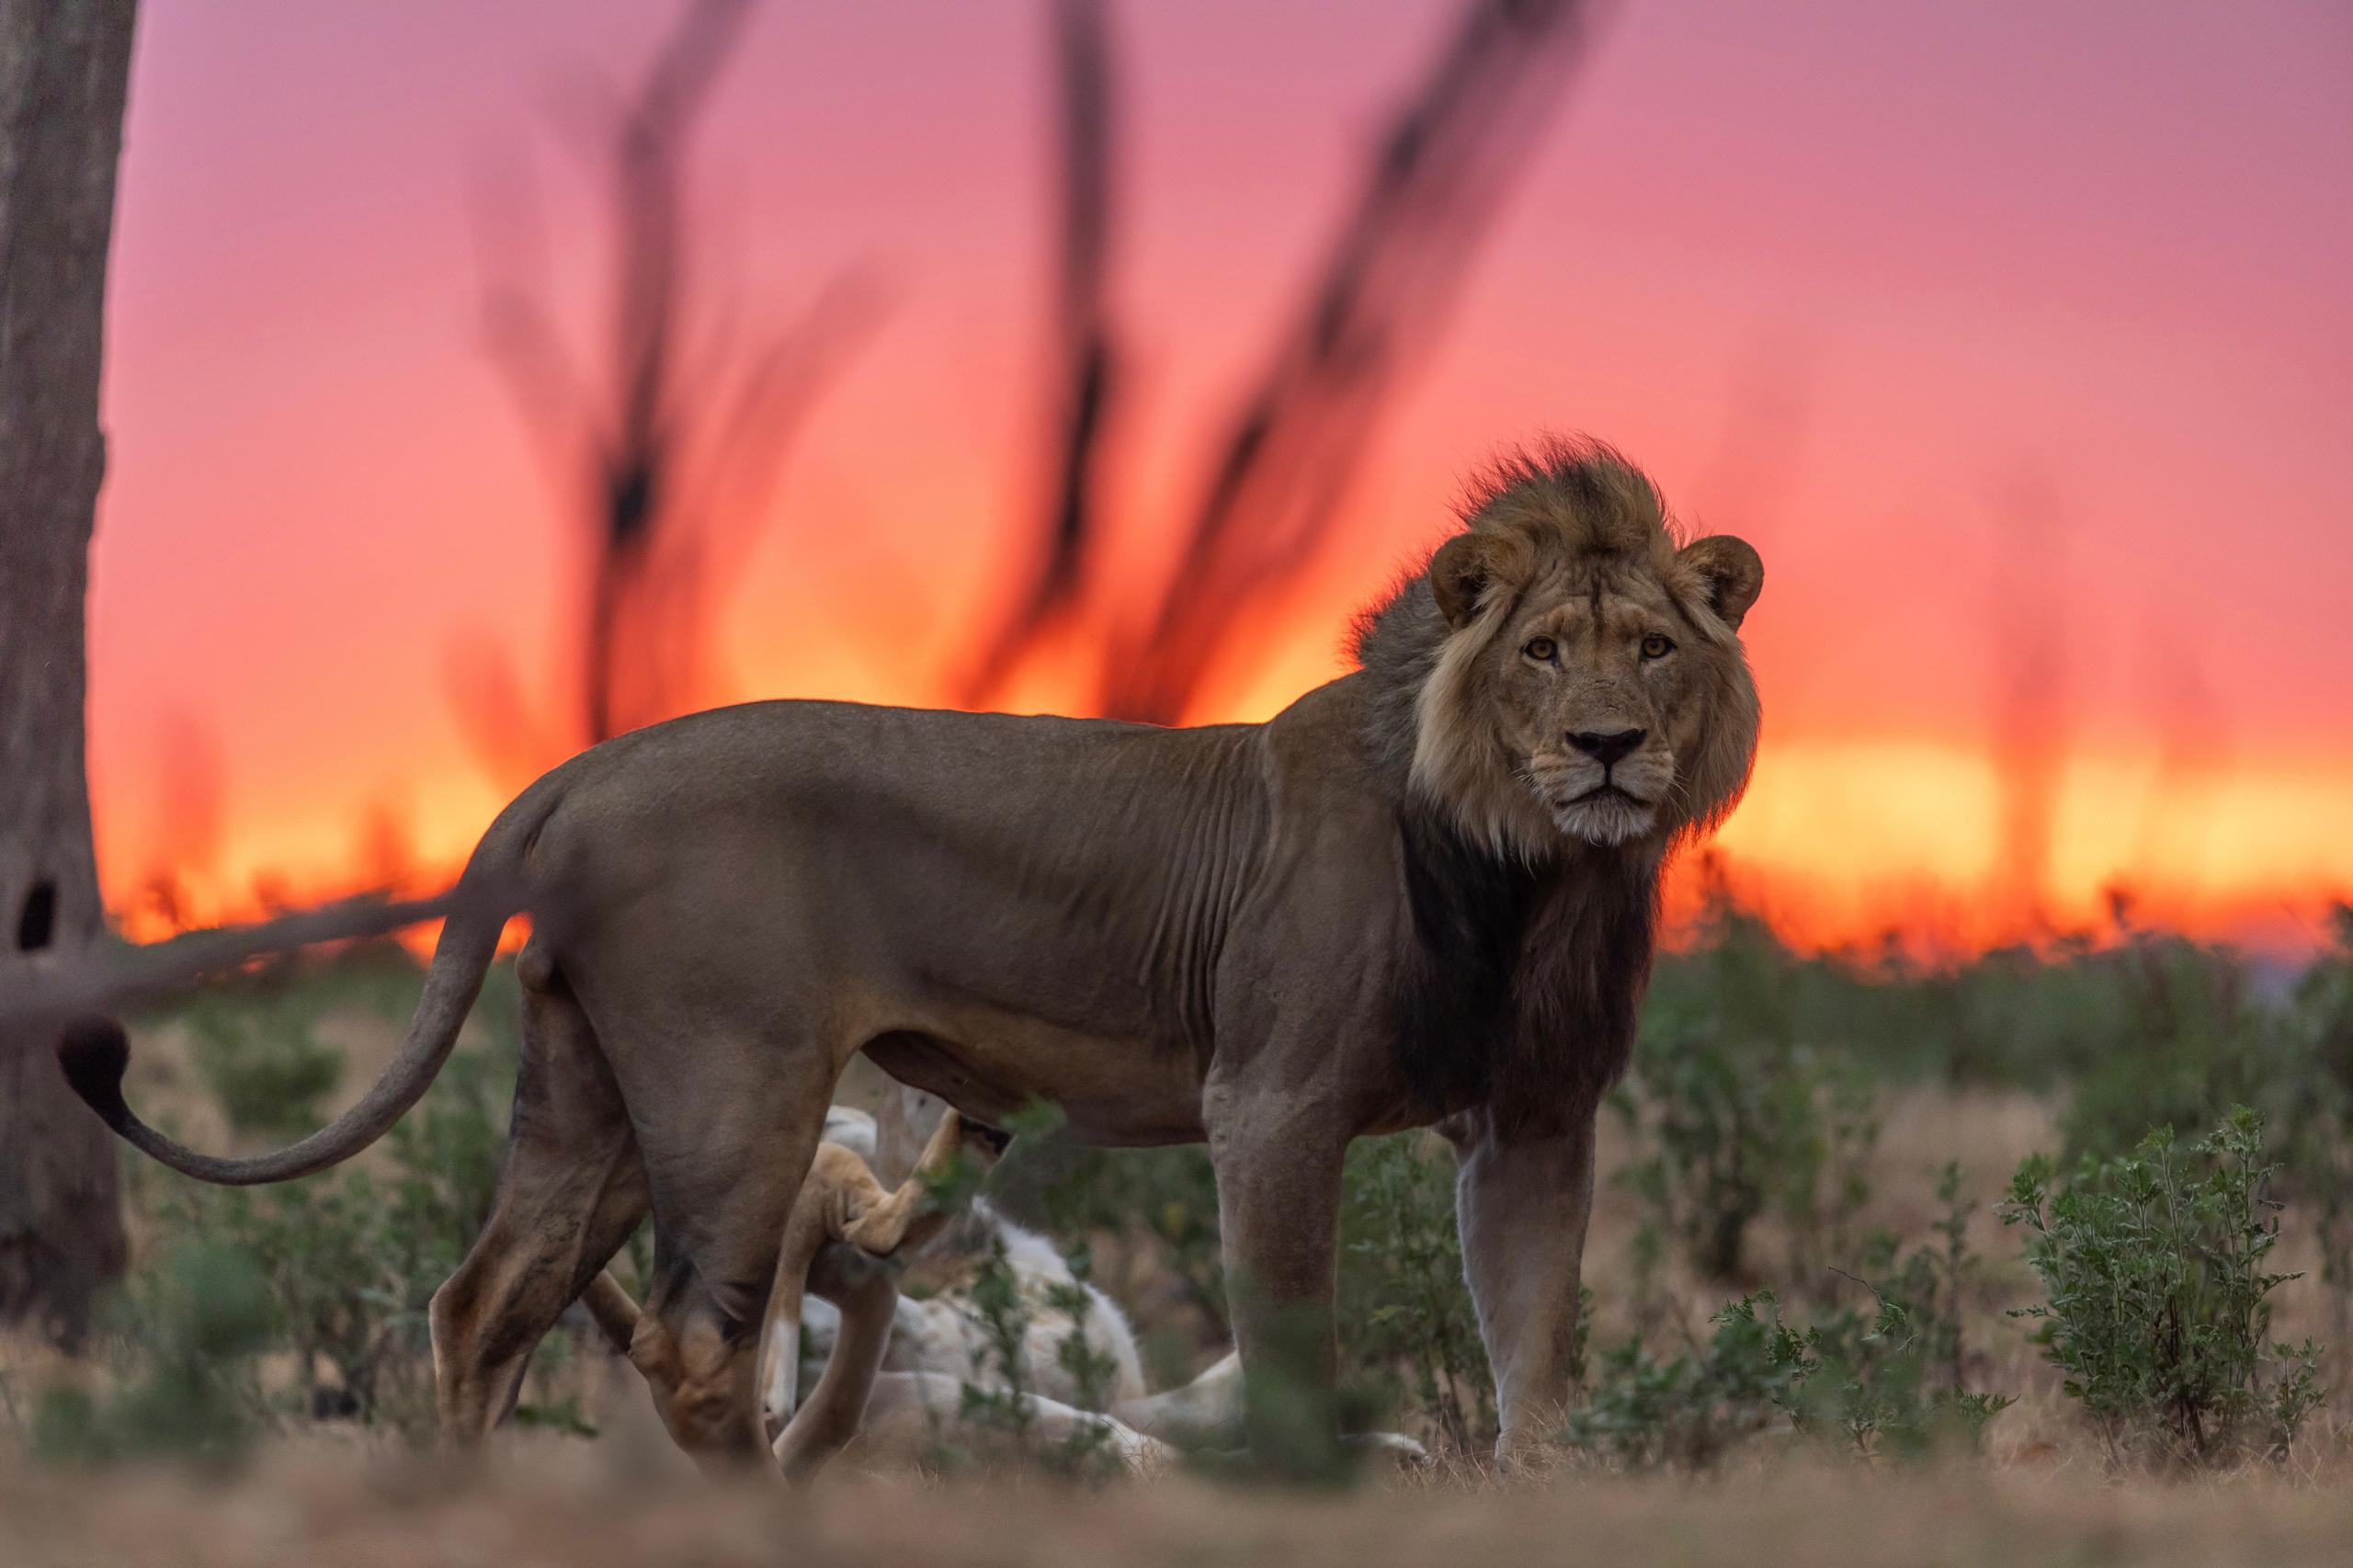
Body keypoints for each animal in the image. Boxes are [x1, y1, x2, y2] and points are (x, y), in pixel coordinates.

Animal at [60, 437, 1763, 1467]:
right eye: (1541, 652)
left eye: (1652, 650)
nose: (1609, 748)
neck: (1534, 878)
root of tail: (591, 762)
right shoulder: (1271, 1105)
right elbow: (1289, 1340)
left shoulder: (1537, 1123)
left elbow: (1536, 1361)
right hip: (734, 1087)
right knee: (697, 1348)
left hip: (589, 1086)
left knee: (486, 1304)